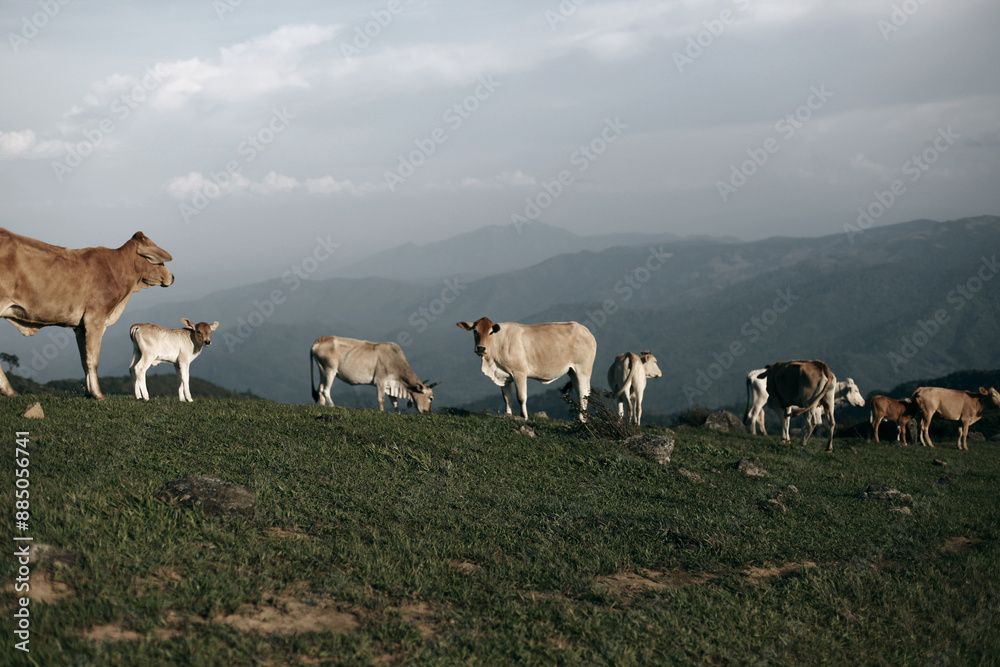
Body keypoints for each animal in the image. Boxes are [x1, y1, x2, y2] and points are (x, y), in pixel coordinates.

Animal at [0, 228, 174, 400]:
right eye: (159, 261)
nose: (172, 277)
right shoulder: (95, 320)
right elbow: (93, 360)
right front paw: (98, 394)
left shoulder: (80, 327)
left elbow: (84, 360)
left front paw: (89, 392)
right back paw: (9, 390)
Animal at [456, 317, 596, 421]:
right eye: (475, 331)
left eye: (491, 332)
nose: (481, 348)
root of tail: (585, 330)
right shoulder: (504, 376)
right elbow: (507, 397)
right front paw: (508, 415)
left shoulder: (519, 372)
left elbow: (521, 397)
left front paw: (524, 417)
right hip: (572, 371)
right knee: (579, 391)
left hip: (583, 369)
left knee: (584, 393)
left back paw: (582, 420)